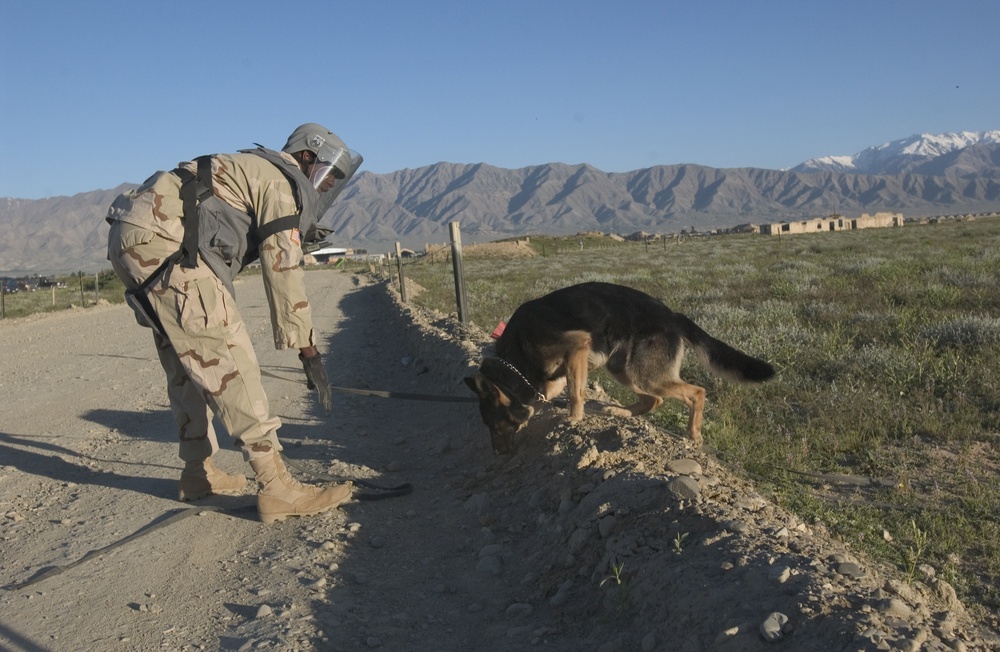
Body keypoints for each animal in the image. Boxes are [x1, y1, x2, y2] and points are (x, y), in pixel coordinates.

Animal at [464, 280, 776, 454]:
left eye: (495, 426)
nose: (497, 455)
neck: (515, 360)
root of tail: (672, 315)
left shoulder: (577, 345)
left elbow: (576, 393)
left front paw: (573, 419)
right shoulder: (565, 368)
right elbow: (559, 390)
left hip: (642, 373)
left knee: (696, 392)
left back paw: (693, 434)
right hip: (623, 368)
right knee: (655, 400)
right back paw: (621, 412)